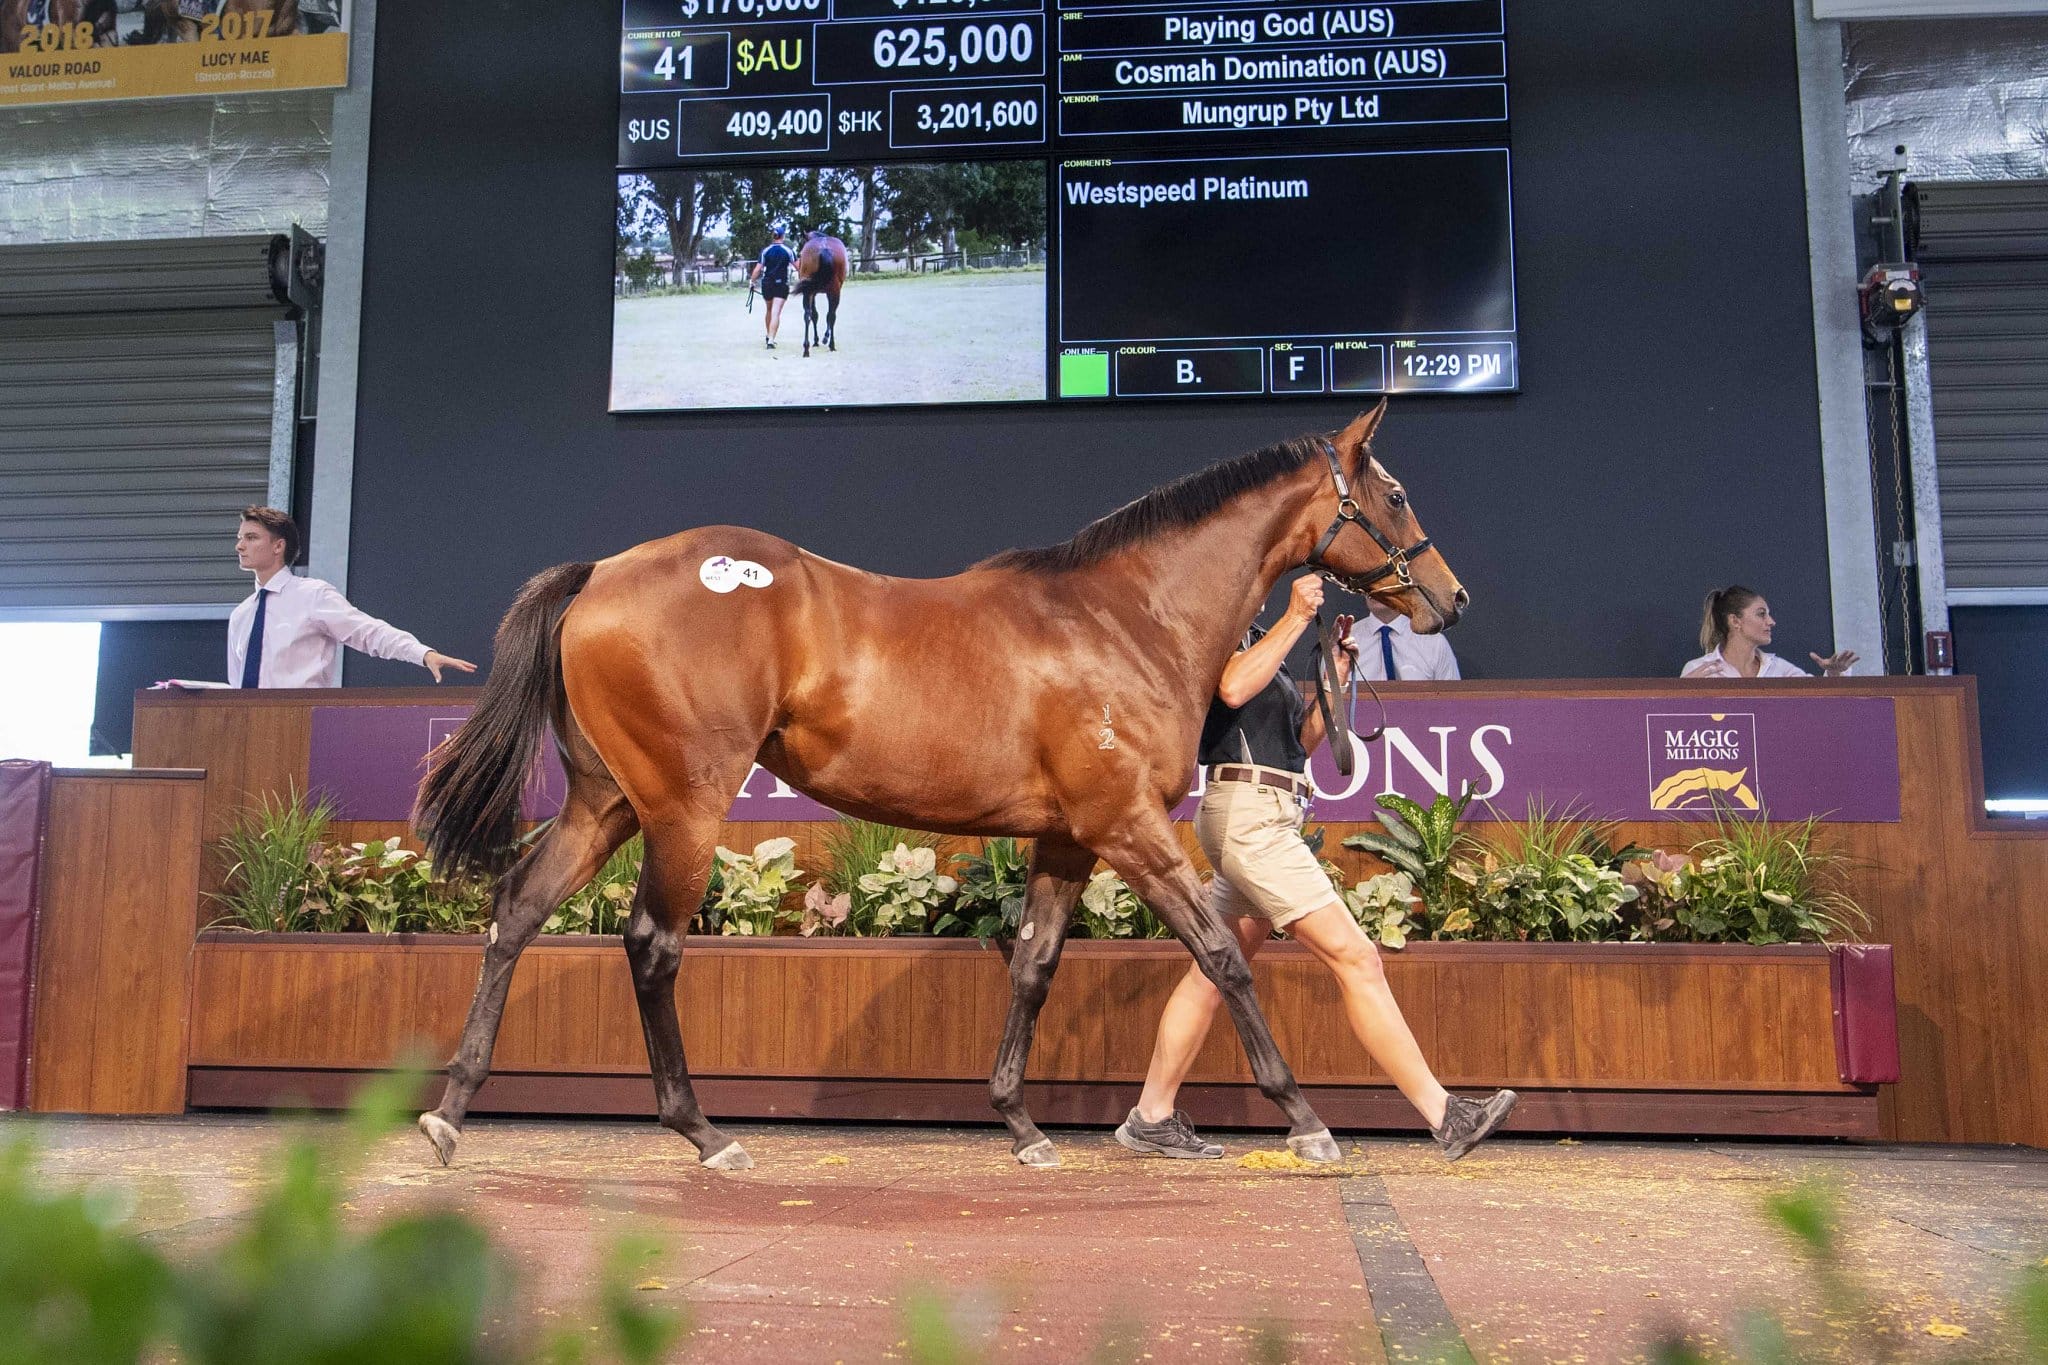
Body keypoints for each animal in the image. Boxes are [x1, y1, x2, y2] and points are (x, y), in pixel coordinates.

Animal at [415, 397, 1466, 1178]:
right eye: (1397, 492)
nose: (1450, 598)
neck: (1124, 617)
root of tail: (599, 574)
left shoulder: (1068, 838)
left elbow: (1035, 965)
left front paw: (1023, 1126)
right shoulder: (1127, 826)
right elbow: (1222, 959)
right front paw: (1308, 1119)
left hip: (606, 803)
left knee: (517, 909)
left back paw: (452, 1111)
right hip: (682, 810)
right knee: (651, 945)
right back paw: (704, 1133)